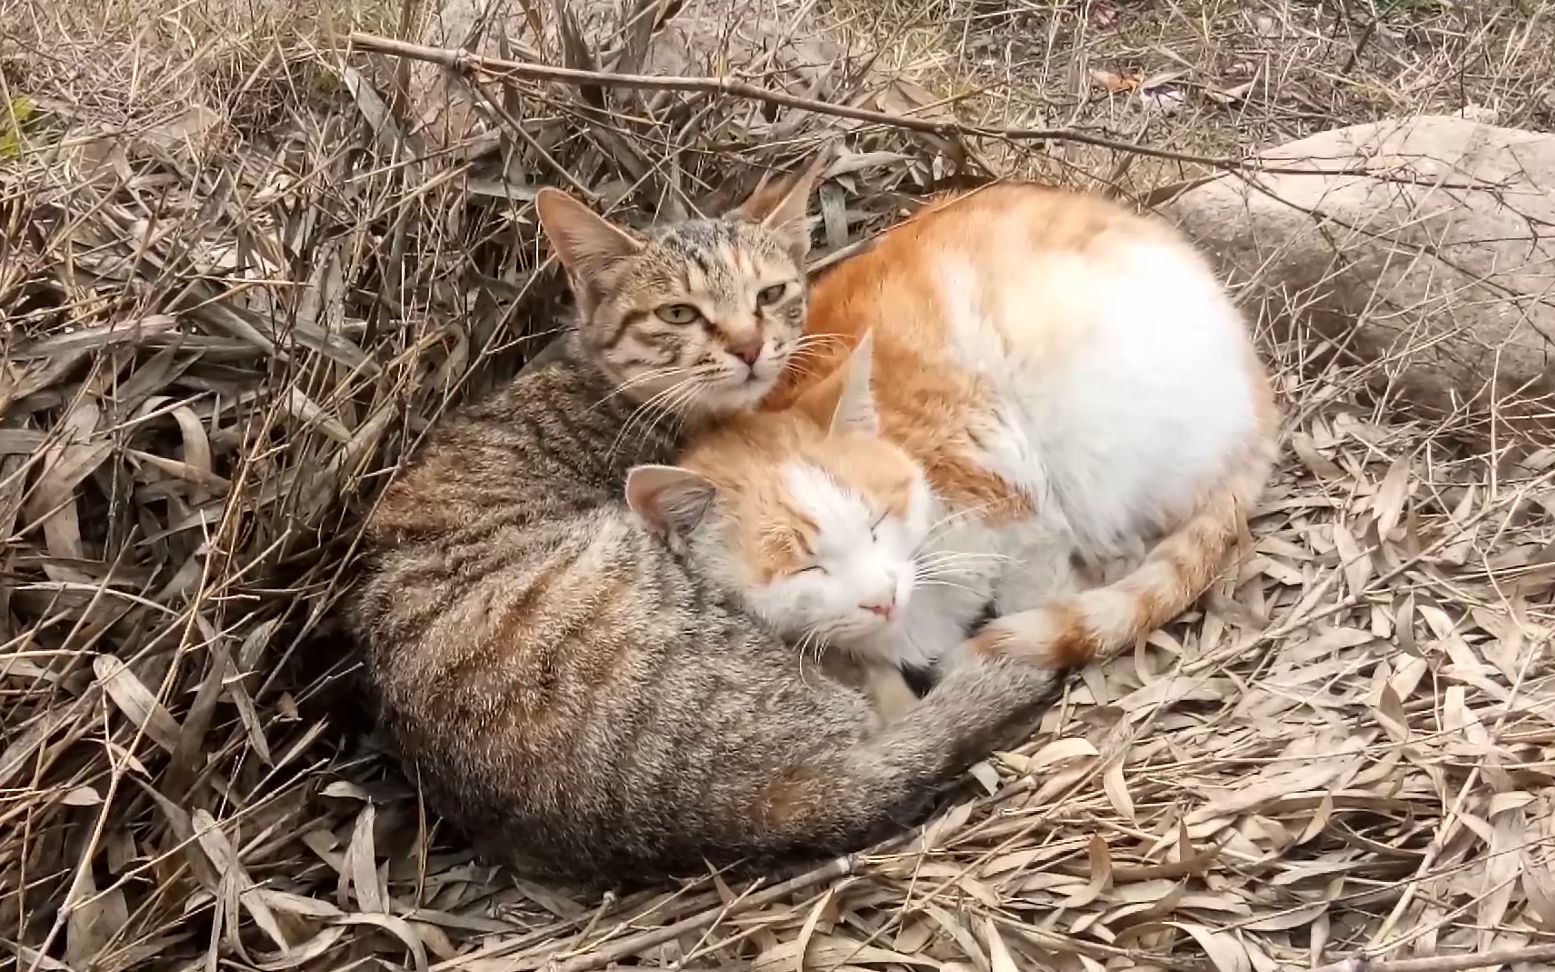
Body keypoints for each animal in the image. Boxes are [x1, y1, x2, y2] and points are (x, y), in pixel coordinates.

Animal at [625, 181, 1281, 712]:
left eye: (876, 521)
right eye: (804, 567)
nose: (881, 597)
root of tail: (1260, 383)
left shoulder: (1009, 477)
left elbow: (1035, 581)